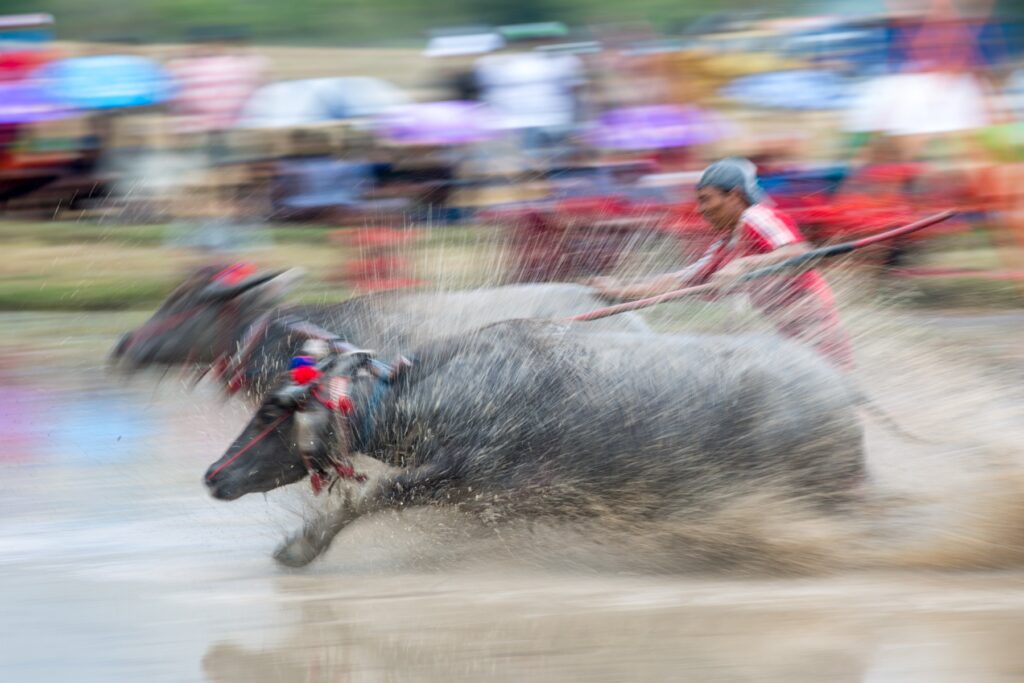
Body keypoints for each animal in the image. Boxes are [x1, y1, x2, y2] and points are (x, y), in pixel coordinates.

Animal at [203, 319, 868, 565]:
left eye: (272, 409)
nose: (213, 475)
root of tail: (841, 390)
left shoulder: (464, 477)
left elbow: (372, 498)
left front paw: (302, 545)